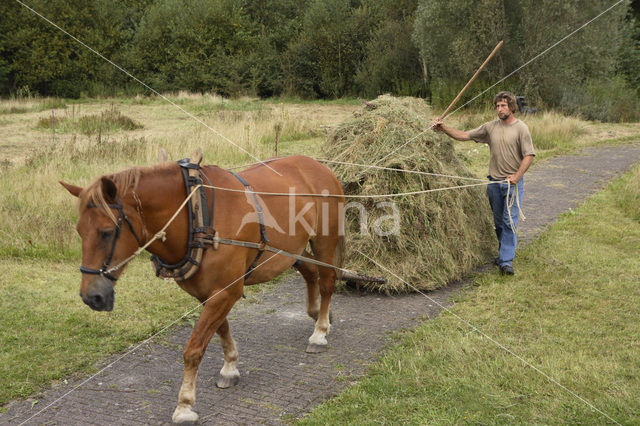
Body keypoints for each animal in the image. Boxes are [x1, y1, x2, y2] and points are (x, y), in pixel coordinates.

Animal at [61, 156, 344, 422]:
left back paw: (320, 331)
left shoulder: (225, 292)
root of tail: (319, 165)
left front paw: (184, 405)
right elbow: (221, 329)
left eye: (107, 232)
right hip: (292, 249)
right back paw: (317, 313)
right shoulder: (208, 294)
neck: (196, 218)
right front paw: (230, 367)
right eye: (79, 231)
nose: (91, 296)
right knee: (311, 272)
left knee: (327, 280)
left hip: (324, 240)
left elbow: (194, 349)